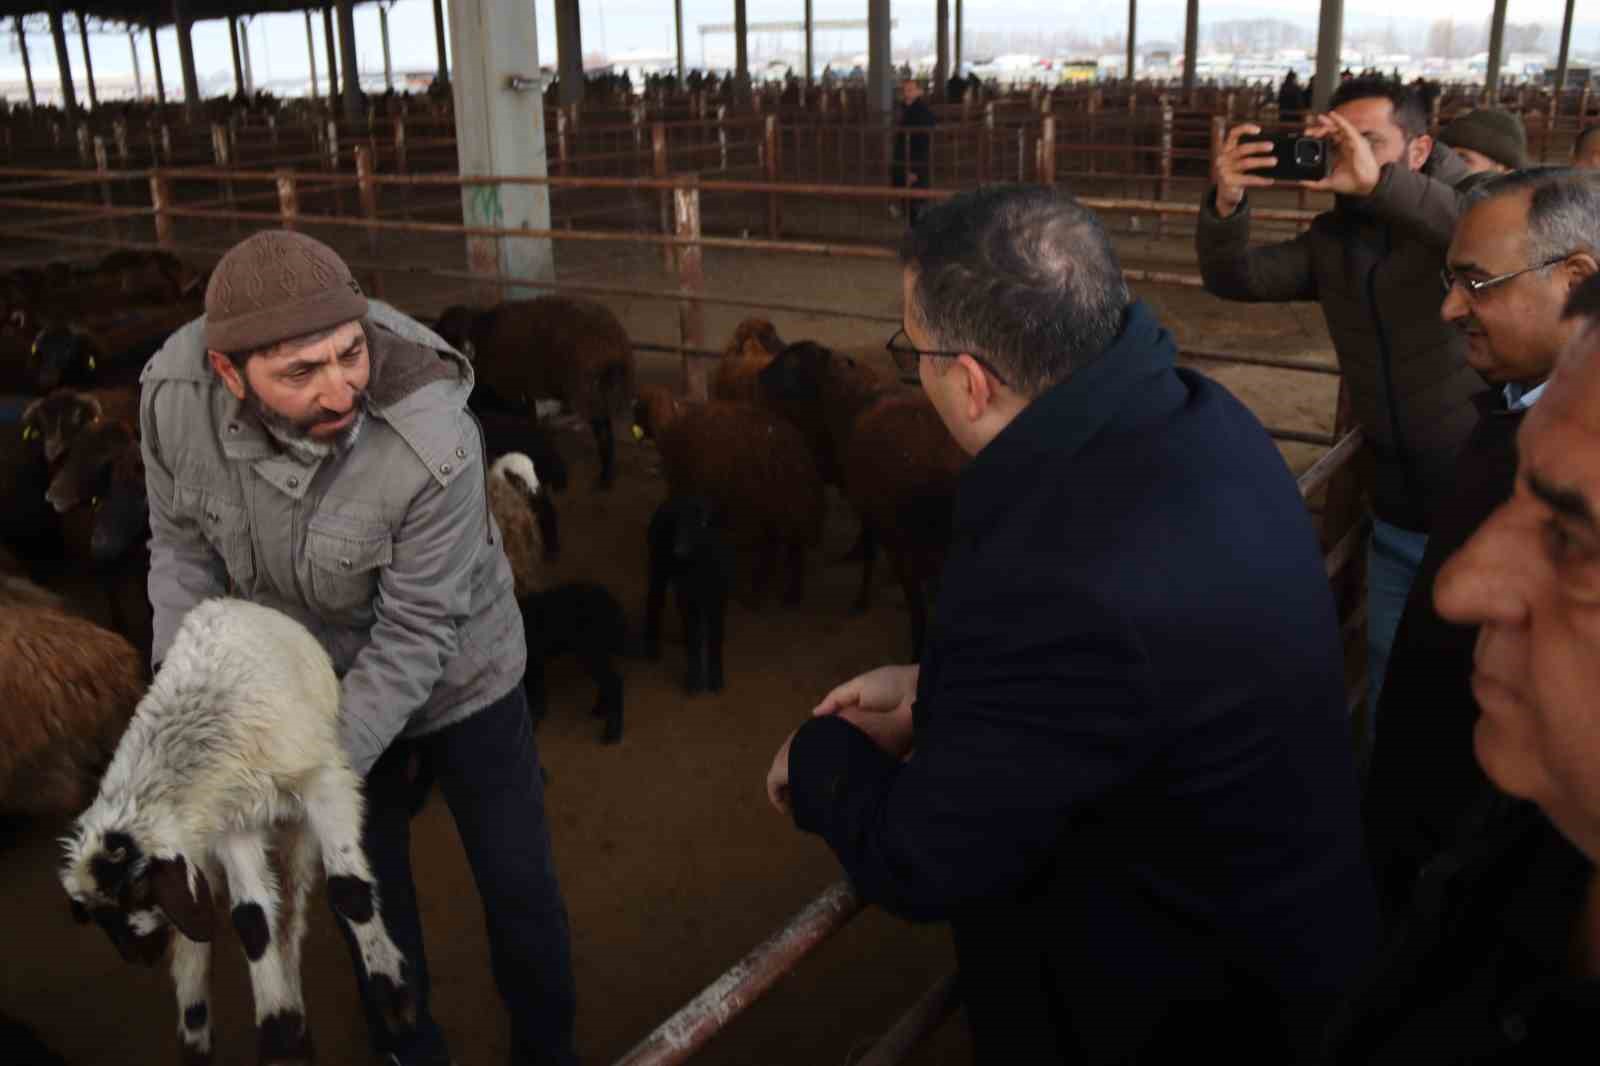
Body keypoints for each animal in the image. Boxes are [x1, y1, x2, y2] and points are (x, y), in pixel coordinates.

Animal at [60, 598, 412, 1062]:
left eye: (138, 893)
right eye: (93, 911)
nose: (136, 957)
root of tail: (244, 603)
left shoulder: (322, 780)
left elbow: (348, 890)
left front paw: (391, 995)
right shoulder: (232, 828)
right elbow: (250, 920)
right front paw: (277, 1030)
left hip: (295, 833)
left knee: (292, 914)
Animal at [441, 294, 640, 486]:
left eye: (449, 347)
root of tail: (616, 347)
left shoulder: (512, 391)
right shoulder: (522, 391)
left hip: (587, 394)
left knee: (597, 428)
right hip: (597, 396)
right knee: (604, 432)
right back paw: (605, 475)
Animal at [524, 582, 624, 739]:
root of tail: (613, 604)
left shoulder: (534, 664)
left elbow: (537, 698)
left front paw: (535, 721)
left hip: (591, 652)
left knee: (614, 683)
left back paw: (612, 732)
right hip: (597, 653)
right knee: (608, 682)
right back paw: (600, 709)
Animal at [630, 382, 825, 601]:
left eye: (640, 410)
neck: (672, 429)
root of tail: (800, 459)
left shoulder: (687, 491)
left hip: (767, 512)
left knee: (773, 554)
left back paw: (758, 595)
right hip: (787, 515)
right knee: (793, 553)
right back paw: (790, 596)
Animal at [643, 492, 732, 694]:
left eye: (700, 525)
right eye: (677, 525)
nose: (679, 551)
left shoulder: (718, 599)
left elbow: (715, 637)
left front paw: (716, 680)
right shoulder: (688, 598)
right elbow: (694, 637)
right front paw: (693, 681)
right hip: (659, 565)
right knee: (654, 600)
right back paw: (651, 649)